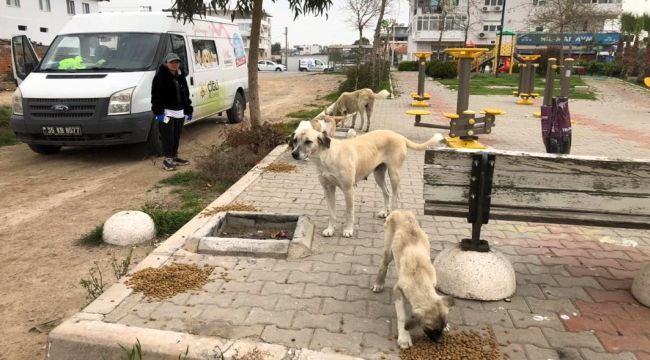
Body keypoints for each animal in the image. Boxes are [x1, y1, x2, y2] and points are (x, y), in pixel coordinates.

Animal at [292, 128, 442, 238]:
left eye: (308, 141)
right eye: (295, 140)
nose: (294, 154)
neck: (326, 156)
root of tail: (399, 136)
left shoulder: (348, 189)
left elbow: (349, 212)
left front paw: (348, 230)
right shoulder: (328, 189)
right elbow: (331, 213)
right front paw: (330, 229)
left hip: (394, 174)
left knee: (395, 196)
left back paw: (391, 215)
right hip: (378, 175)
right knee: (386, 193)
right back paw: (385, 212)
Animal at [372, 211, 454, 348]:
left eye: (442, 327)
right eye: (430, 328)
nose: (440, 341)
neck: (419, 275)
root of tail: (400, 211)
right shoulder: (398, 290)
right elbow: (402, 317)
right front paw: (404, 338)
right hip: (388, 251)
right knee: (383, 265)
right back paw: (379, 283)